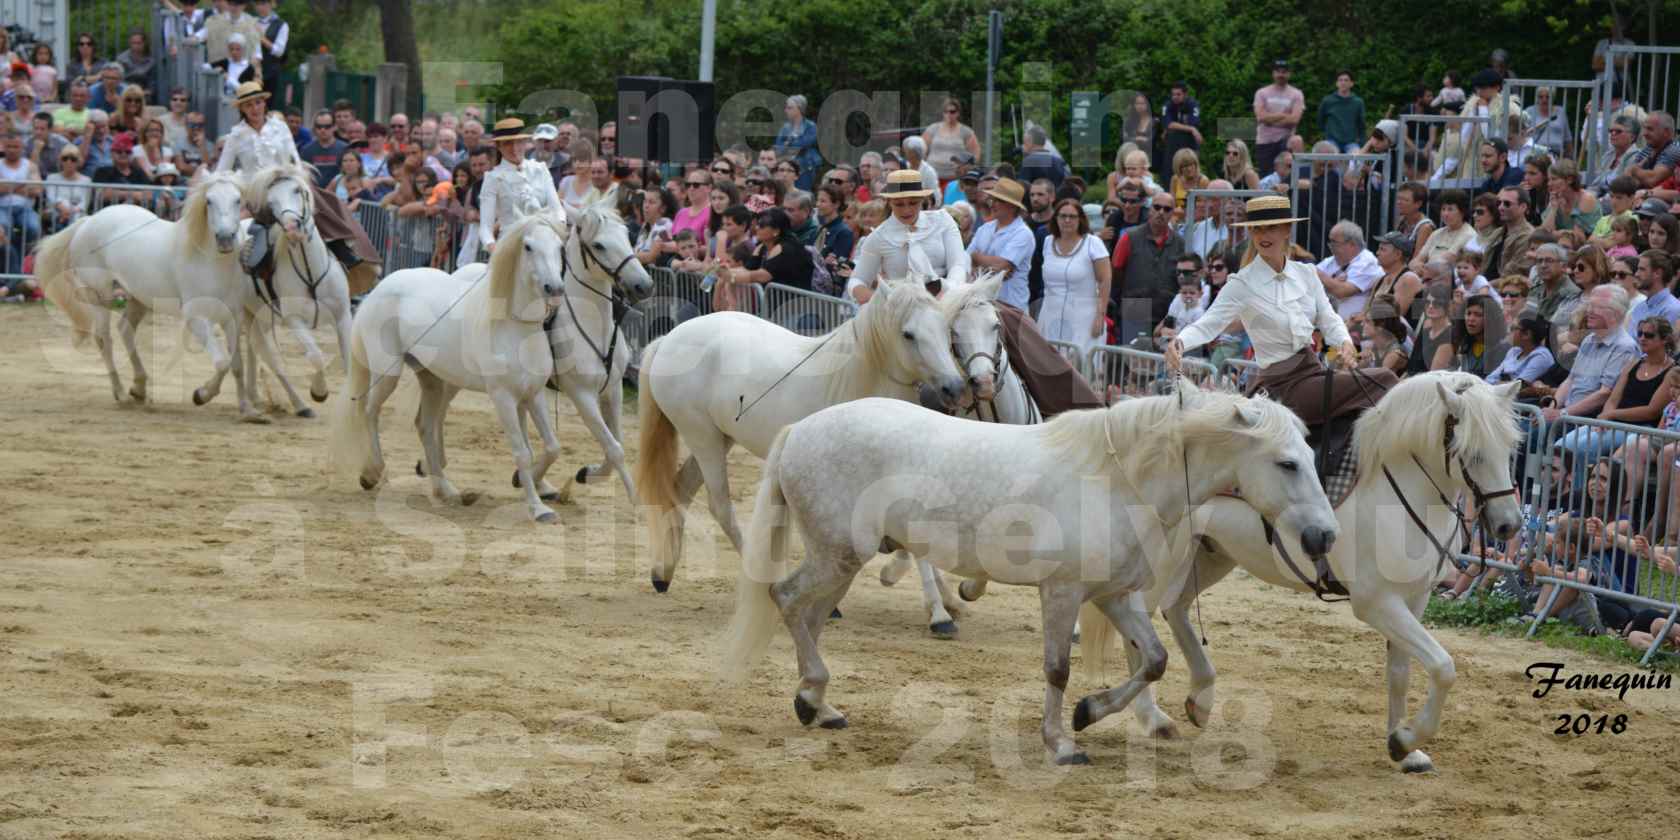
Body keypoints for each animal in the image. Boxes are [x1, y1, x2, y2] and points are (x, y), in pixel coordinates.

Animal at [37, 171, 255, 420]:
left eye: (238, 200)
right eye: (209, 201)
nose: (225, 239)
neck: (210, 263)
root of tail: (88, 220)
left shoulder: (232, 318)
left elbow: (236, 364)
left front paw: (248, 409)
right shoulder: (197, 319)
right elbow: (222, 363)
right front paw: (201, 395)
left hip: (137, 298)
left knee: (125, 329)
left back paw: (139, 389)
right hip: (100, 295)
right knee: (104, 339)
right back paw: (121, 394)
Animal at [330, 213, 574, 520]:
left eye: (560, 247)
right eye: (528, 246)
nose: (554, 288)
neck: (513, 327)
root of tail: (383, 284)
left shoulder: (533, 395)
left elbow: (552, 447)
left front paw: (531, 487)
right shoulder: (503, 398)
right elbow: (522, 452)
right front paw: (538, 509)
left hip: (432, 379)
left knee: (425, 425)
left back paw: (445, 490)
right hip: (387, 374)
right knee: (369, 412)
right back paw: (373, 473)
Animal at [631, 278, 974, 594]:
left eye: (946, 330)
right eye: (908, 334)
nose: (955, 388)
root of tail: (669, 338)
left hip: (719, 437)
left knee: (681, 488)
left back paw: (662, 573)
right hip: (703, 437)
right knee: (719, 506)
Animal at [722, 389, 1337, 766]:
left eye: (1312, 457)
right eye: (1287, 463)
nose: (1323, 537)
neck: (1116, 479)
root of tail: (800, 429)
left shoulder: (1115, 596)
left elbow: (1156, 660)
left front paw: (1090, 713)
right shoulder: (1062, 592)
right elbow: (1058, 669)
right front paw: (1062, 743)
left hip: (842, 559)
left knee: (809, 614)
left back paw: (816, 705)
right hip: (838, 554)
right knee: (787, 598)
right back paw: (814, 695)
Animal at [1081, 374, 1532, 772]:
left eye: (1510, 448)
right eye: (1471, 452)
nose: (1509, 525)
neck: (1397, 493)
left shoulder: (1414, 598)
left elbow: (1400, 674)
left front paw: (1404, 748)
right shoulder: (1376, 603)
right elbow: (1442, 666)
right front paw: (1407, 738)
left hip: (1211, 555)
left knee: (1175, 610)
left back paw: (1201, 698)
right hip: (1164, 561)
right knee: (1139, 625)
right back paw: (1152, 718)